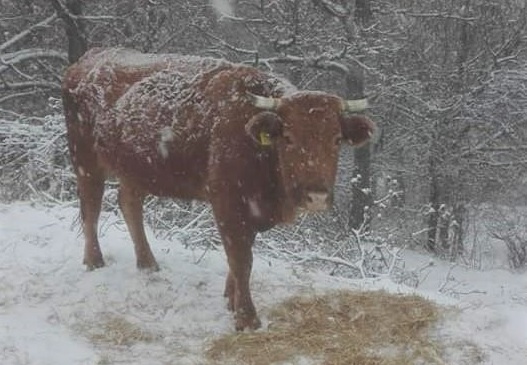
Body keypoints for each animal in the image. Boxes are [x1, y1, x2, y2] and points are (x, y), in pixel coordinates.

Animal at [62, 47, 376, 328]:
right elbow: (240, 257)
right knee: (91, 209)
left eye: (337, 139)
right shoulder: (227, 202)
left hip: (134, 172)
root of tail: (87, 60)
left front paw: (230, 297)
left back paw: (148, 263)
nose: (317, 196)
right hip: (86, 163)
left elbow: (242, 255)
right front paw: (247, 318)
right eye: (287, 137)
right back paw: (94, 261)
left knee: (129, 205)